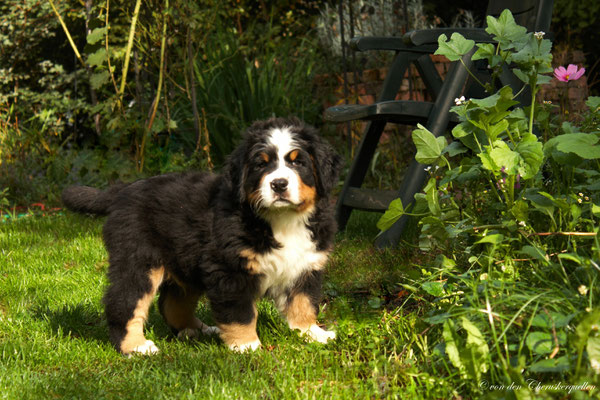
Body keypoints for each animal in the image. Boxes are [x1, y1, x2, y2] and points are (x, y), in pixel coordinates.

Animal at [63, 115, 342, 354]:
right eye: (261, 164)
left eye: (298, 162)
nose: (279, 184)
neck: (282, 220)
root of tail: (121, 191)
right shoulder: (229, 269)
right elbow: (240, 312)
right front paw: (246, 345)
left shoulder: (306, 265)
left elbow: (303, 303)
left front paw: (312, 333)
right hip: (138, 260)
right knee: (124, 302)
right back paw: (136, 346)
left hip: (183, 262)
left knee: (172, 303)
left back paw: (198, 330)